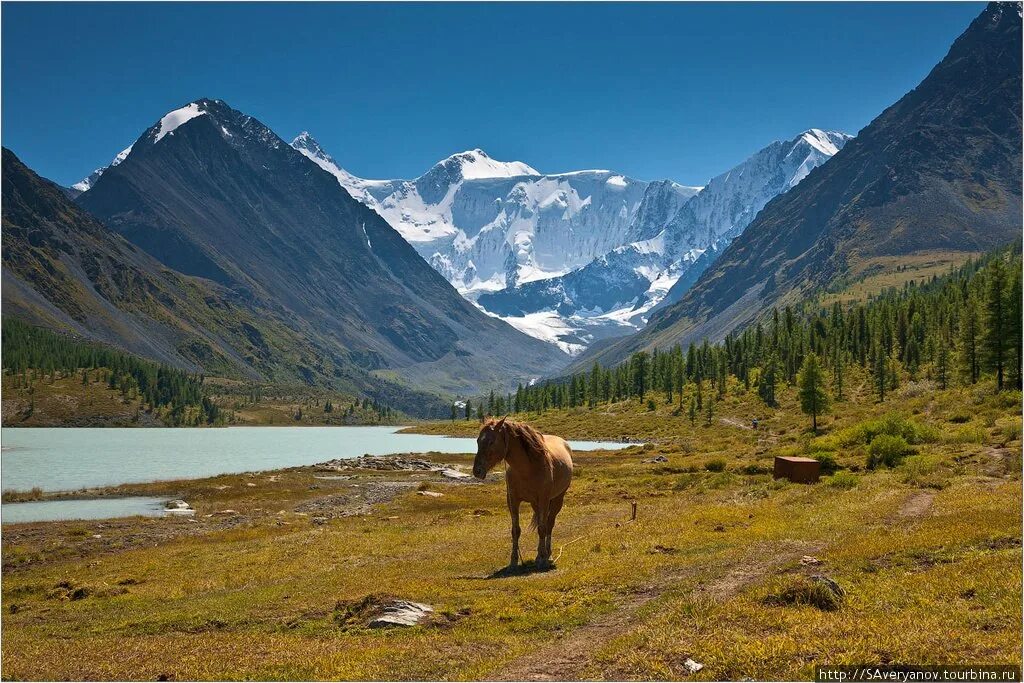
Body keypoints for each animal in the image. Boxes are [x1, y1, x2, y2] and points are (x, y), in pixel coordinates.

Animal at [473, 417, 573, 573]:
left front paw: (543, 561)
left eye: (491, 441)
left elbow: (542, 529)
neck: (528, 469)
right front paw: (513, 562)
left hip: (557, 500)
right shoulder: (513, 500)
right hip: (535, 504)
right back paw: (539, 555)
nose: (477, 470)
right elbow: (516, 530)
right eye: (478, 441)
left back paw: (548, 556)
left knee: (549, 525)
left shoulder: (544, 499)